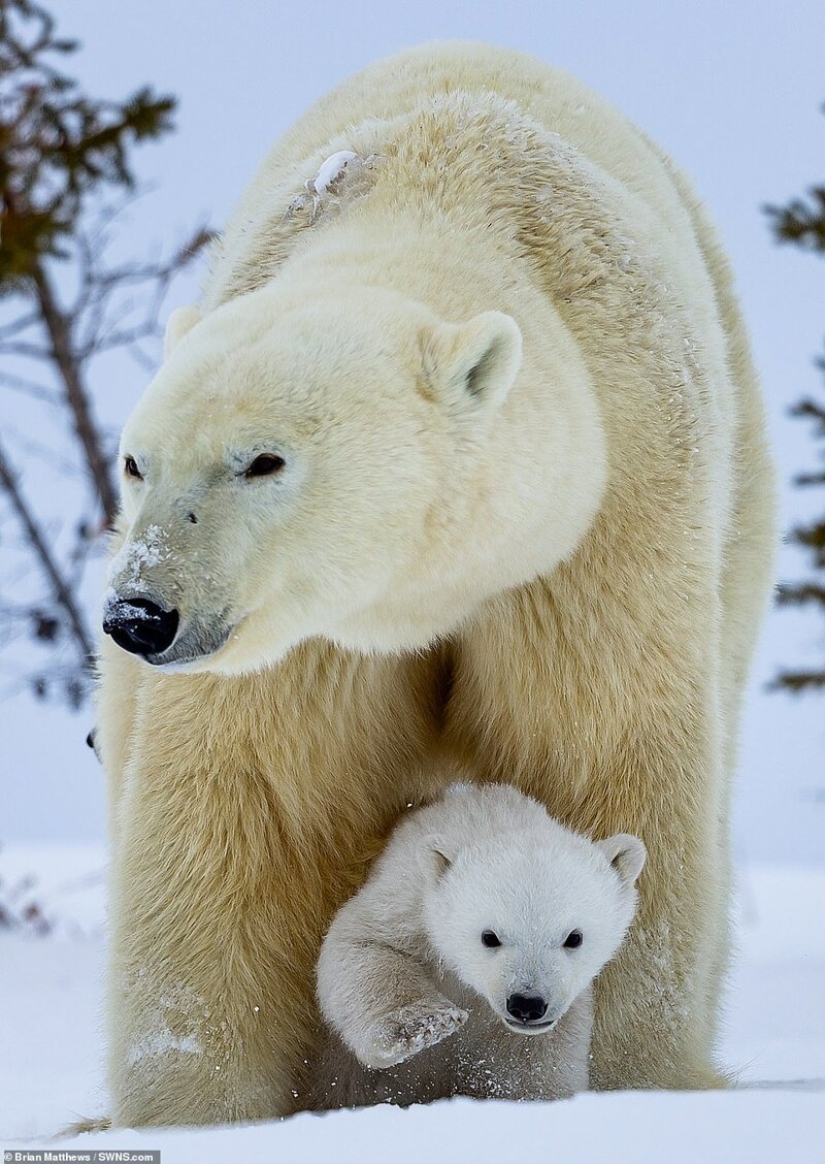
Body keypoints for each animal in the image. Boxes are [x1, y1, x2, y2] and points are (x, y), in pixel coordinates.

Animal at [313, 782, 646, 1108]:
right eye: (489, 936)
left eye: (574, 937)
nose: (527, 1003)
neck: (495, 819)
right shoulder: (408, 901)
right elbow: (365, 943)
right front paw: (423, 1025)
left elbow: (527, 1065)